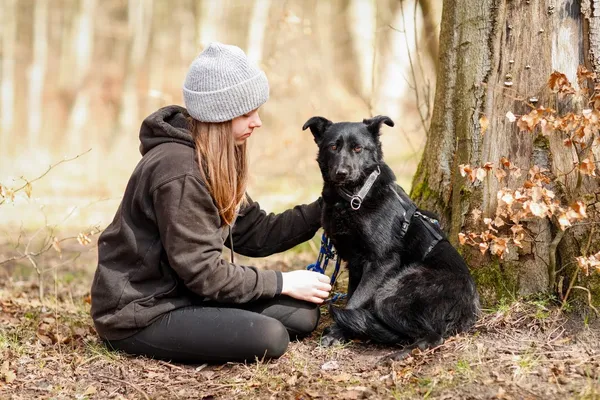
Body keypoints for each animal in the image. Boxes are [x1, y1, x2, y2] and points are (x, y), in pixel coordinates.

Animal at [302, 115, 480, 360]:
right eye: (333, 147)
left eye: (358, 148)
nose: (341, 173)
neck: (353, 198)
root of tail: (469, 306)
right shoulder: (355, 265)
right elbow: (353, 296)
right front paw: (344, 331)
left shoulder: (380, 264)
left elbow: (353, 303)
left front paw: (337, 333)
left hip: (391, 294)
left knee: (433, 335)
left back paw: (397, 354)